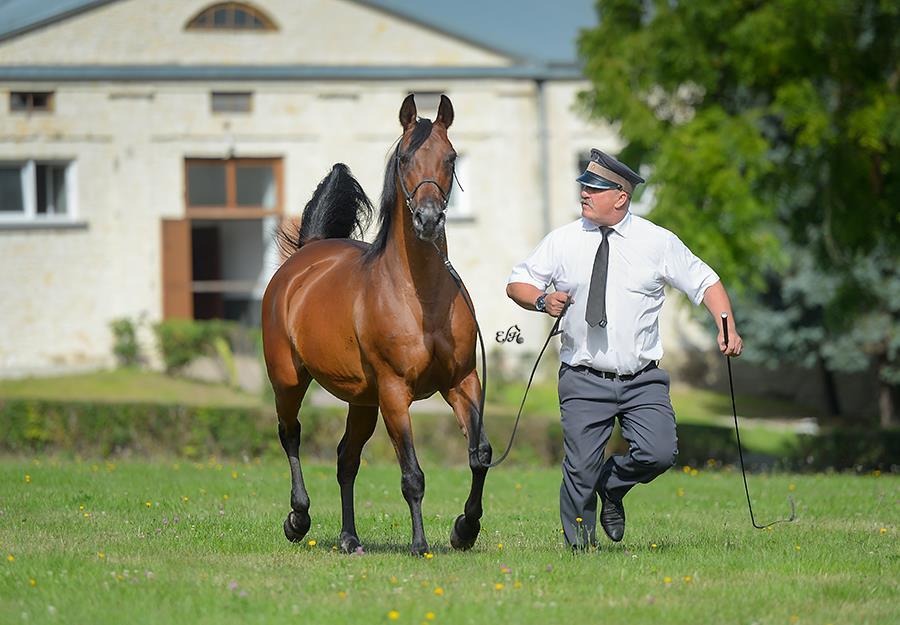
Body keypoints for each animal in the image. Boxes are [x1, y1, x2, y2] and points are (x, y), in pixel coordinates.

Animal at [264, 95, 492, 552]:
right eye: (404, 158)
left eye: (451, 157)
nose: (428, 219)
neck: (421, 299)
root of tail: (304, 258)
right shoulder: (394, 392)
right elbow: (412, 476)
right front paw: (421, 545)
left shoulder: (461, 381)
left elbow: (480, 455)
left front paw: (465, 528)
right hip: (289, 380)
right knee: (290, 433)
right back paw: (298, 518)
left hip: (362, 400)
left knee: (345, 459)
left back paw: (350, 538)